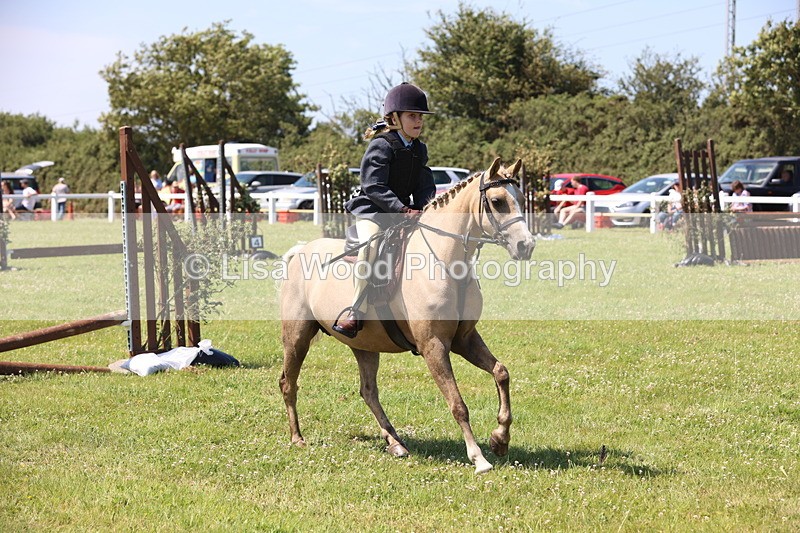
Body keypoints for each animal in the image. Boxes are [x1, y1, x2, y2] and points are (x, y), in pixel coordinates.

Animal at [279, 157, 535, 473]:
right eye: (498, 201)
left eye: (520, 199)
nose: (526, 246)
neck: (446, 262)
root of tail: (300, 251)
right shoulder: (433, 346)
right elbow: (457, 404)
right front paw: (478, 458)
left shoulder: (464, 339)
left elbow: (501, 373)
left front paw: (500, 439)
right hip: (297, 336)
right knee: (289, 383)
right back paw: (297, 438)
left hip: (364, 345)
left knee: (368, 392)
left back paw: (396, 443)